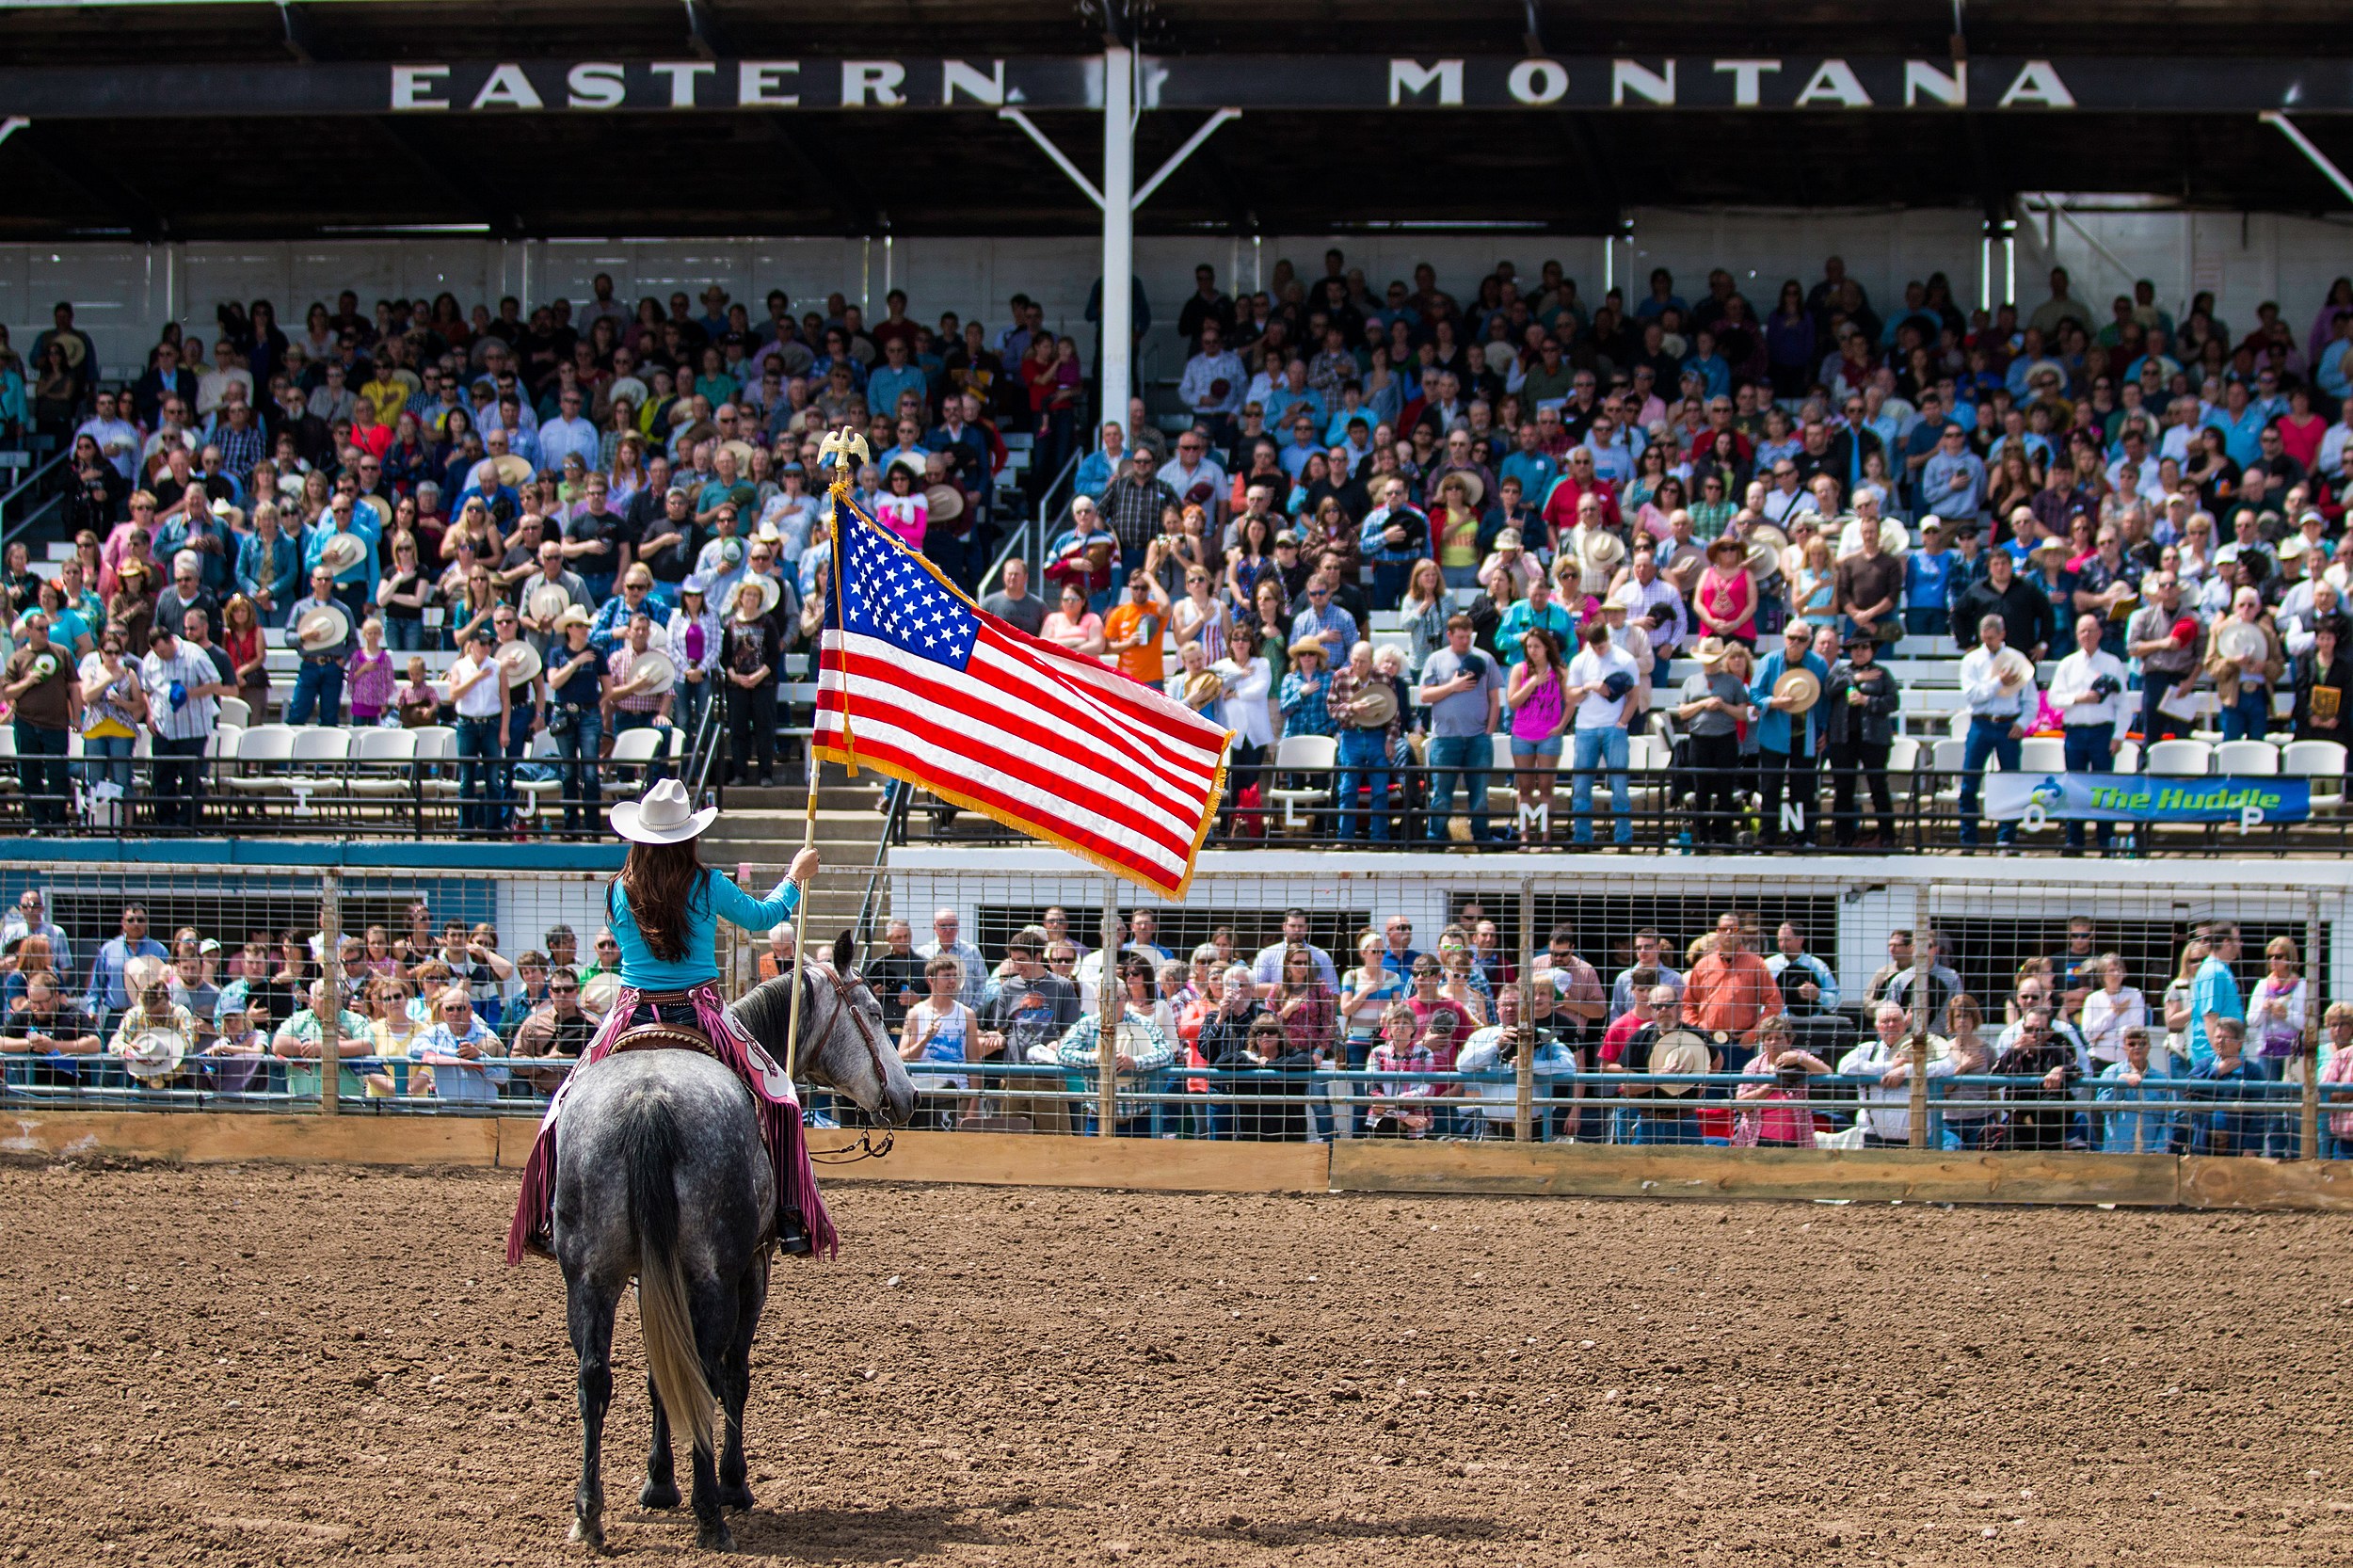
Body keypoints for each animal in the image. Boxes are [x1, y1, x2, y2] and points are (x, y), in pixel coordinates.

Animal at [555, 927, 913, 1553]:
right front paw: (732, 1484)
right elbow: (734, 1373)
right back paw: (711, 1513)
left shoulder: (652, 1273)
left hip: (590, 1275)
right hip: (714, 1272)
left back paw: (590, 1515)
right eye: (872, 1011)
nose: (909, 1096)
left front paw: (658, 1484)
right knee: (706, 1367)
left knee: (594, 1377)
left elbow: (660, 1371)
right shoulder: (752, 1268)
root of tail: (648, 1099)